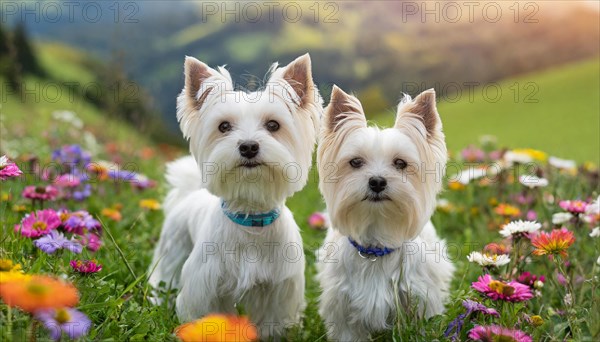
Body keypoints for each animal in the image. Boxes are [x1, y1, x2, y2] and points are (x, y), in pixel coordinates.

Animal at [148, 54, 322, 340]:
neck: (251, 218)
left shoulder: (277, 292)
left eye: (273, 125)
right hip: (173, 249)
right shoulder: (205, 287)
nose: (248, 146)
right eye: (224, 126)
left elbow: (271, 326)